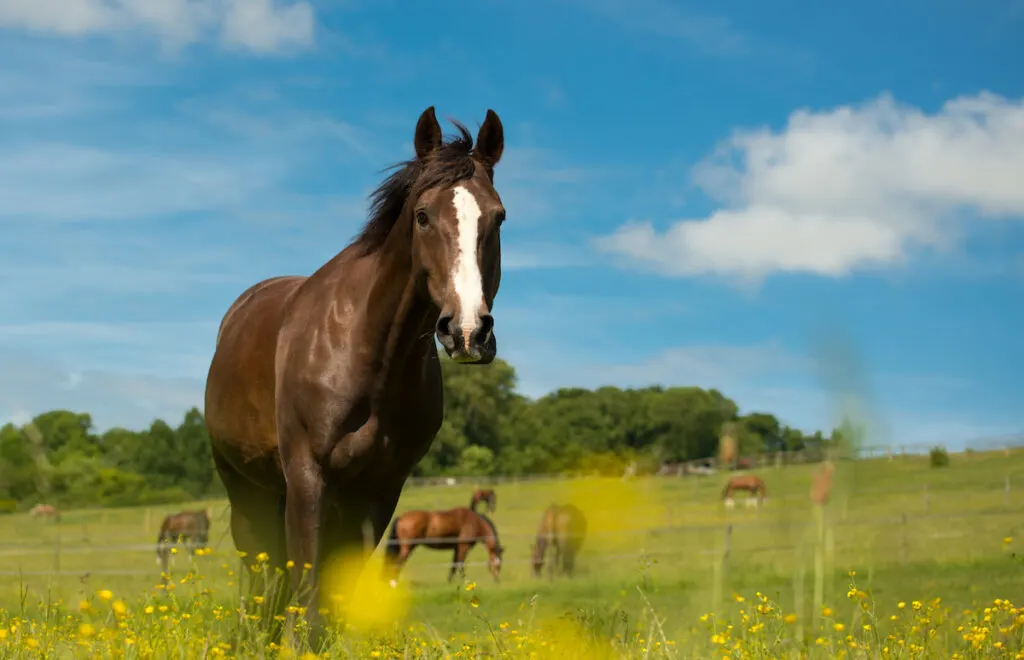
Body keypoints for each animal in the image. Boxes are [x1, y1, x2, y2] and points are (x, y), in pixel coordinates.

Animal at [202, 106, 507, 642]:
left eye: (498, 217)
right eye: (423, 216)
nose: (468, 331)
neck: (368, 354)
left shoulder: (380, 490)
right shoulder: (308, 478)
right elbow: (305, 595)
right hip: (246, 490)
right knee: (262, 578)